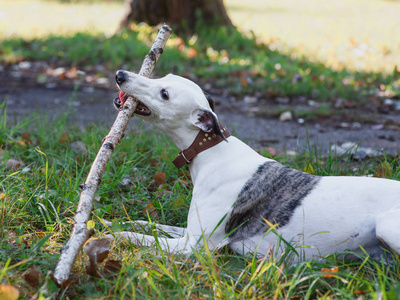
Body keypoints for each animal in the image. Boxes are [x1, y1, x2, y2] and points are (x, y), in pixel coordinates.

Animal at [111, 71, 400, 262]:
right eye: (163, 76)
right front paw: (117, 220)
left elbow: (143, 238)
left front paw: (113, 235)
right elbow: (148, 225)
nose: (120, 74)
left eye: (165, 94)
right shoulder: (189, 232)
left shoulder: (194, 246)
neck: (213, 152)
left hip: (387, 226)